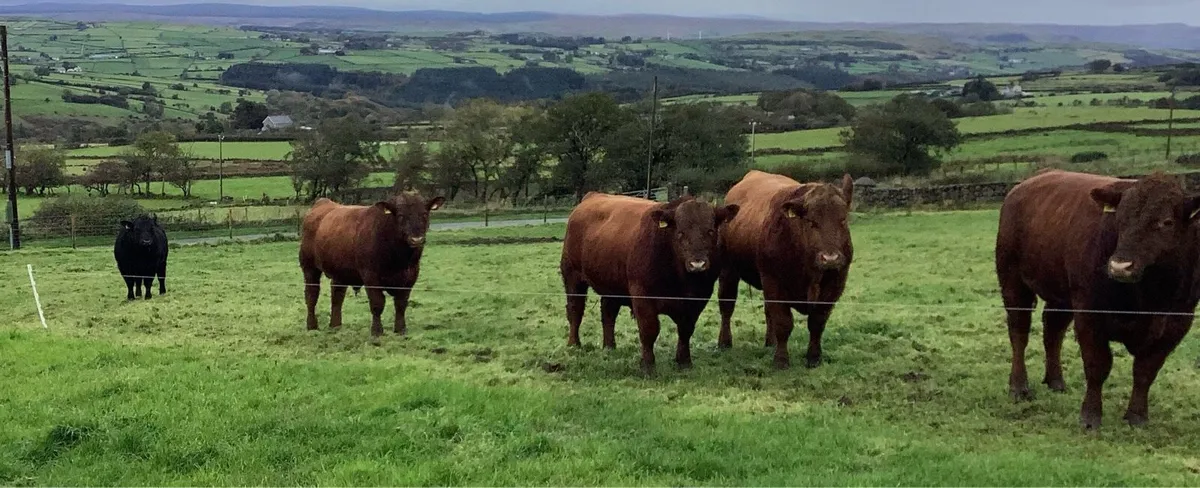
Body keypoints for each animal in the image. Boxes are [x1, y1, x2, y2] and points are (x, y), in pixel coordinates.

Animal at [299, 193, 445, 337]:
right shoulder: (370, 275)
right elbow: (377, 303)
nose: (417, 239)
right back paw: (312, 326)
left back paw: (336, 325)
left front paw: (400, 329)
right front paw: (377, 331)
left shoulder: (411, 275)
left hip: (339, 272)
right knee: (311, 295)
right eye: (401, 215)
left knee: (337, 296)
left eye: (425, 214)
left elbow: (401, 303)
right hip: (309, 267)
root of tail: (322, 203)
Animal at [560, 193, 739, 375]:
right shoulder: (642, 296)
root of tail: (593, 195)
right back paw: (574, 344)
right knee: (575, 310)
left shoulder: (698, 299)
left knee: (608, 313)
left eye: (710, 231)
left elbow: (686, 329)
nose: (698, 264)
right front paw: (648, 366)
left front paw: (684, 361)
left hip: (611, 285)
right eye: (680, 233)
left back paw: (609, 346)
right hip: (572, 276)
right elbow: (649, 330)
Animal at [716, 170, 854, 369]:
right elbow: (783, 322)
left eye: (843, 219)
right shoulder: (774, 282)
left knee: (767, 311)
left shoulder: (835, 285)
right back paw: (724, 342)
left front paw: (814, 357)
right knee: (726, 306)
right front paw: (781, 360)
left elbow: (817, 323)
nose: (830, 258)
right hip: (729, 270)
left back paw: (770, 342)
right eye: (811, 221)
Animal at [996, 169, 1200, 430]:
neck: (1149, 296)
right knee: (1019, 333)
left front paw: (1137, 416)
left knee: (1053, 331)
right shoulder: (1089, 314)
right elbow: (1097, 365)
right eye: (1120, 219)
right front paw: (1090, 418)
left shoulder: (1177, 322)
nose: (1120, 266)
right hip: (1013, 282)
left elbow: (1145, 370)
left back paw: (1055, 381)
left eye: (1166, 222)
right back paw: (1019, 387)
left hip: (1061, 296)